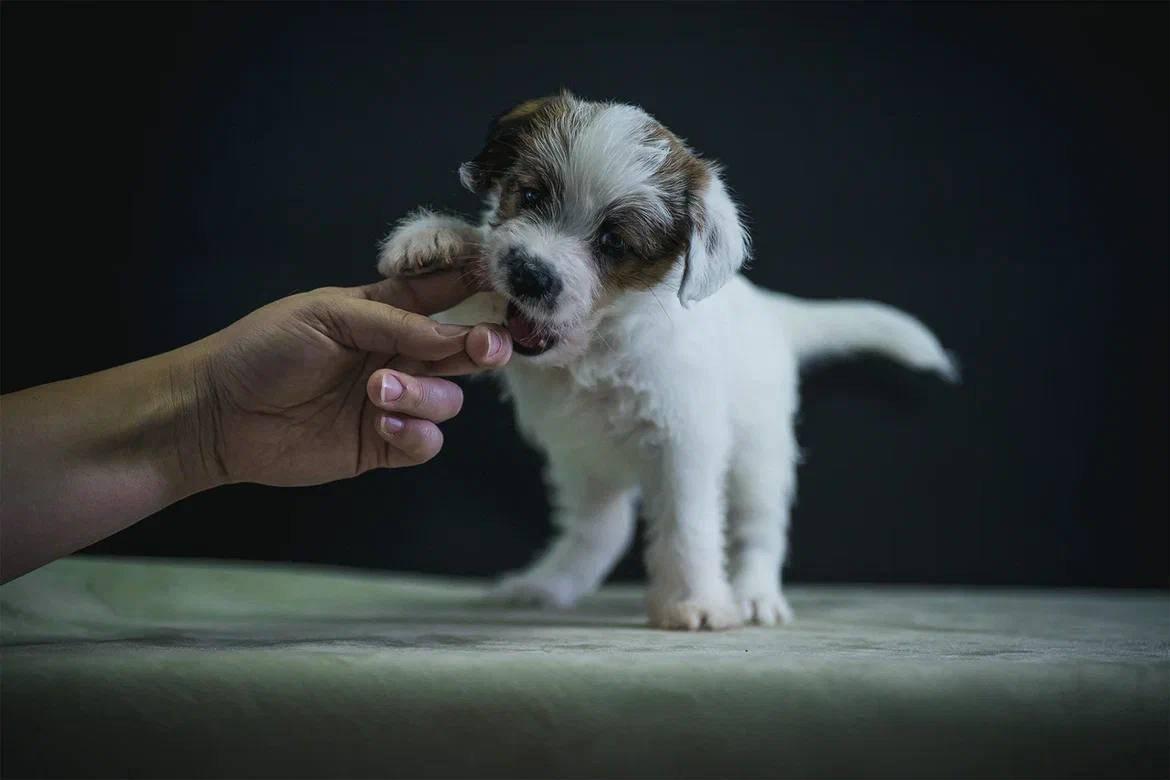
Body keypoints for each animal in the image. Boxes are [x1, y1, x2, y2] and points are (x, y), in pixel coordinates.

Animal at [377, 91, 957, 630]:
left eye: (613, 242)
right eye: (531, 195)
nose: (529, 274)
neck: (598, 342)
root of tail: (772, 312)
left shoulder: (686, 443)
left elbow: (689, 524)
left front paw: (697, 601)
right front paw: (436, 238)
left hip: (759, 458)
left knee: (758, 532)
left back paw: (754, 595)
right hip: (582, 461)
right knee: (602, 530)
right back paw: (548, 583)